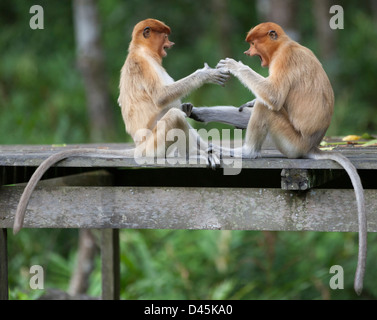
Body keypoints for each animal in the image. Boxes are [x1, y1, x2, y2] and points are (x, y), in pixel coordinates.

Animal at [11, 19, 228, 235]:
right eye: (165, 36)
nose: (170, 43)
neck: (142, 51)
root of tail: (139, 146)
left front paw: (198, 122)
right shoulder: (141, 65)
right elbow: (161, 97)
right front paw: (206, 74)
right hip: (154, 144)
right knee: (174, 115)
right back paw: (194, 155)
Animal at [188, 22, 364, 296]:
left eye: (253, 43)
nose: (248, 53)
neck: (285, 44)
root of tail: (313, 145)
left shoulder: (284, 60)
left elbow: (272, 96)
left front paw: (234, 66)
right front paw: (199, 110)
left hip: (290, 142)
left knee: (267, 107)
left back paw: (244, 151)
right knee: (255, 109)